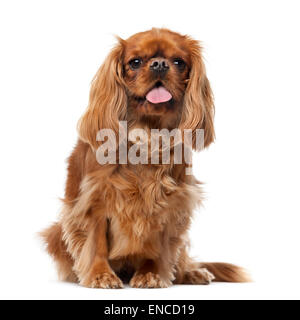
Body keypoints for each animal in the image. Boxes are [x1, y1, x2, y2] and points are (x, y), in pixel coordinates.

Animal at [41, 28, 250, 288]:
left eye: (179, 62)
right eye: (135, 62)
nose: (159, 64)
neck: (148, 133)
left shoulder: (172, 203)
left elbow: (158, 246)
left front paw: (152, 274)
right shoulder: (93, 200)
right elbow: (96, 242)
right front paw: (101, 275)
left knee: (181, 257)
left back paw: (191, 272)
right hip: (55, 232)